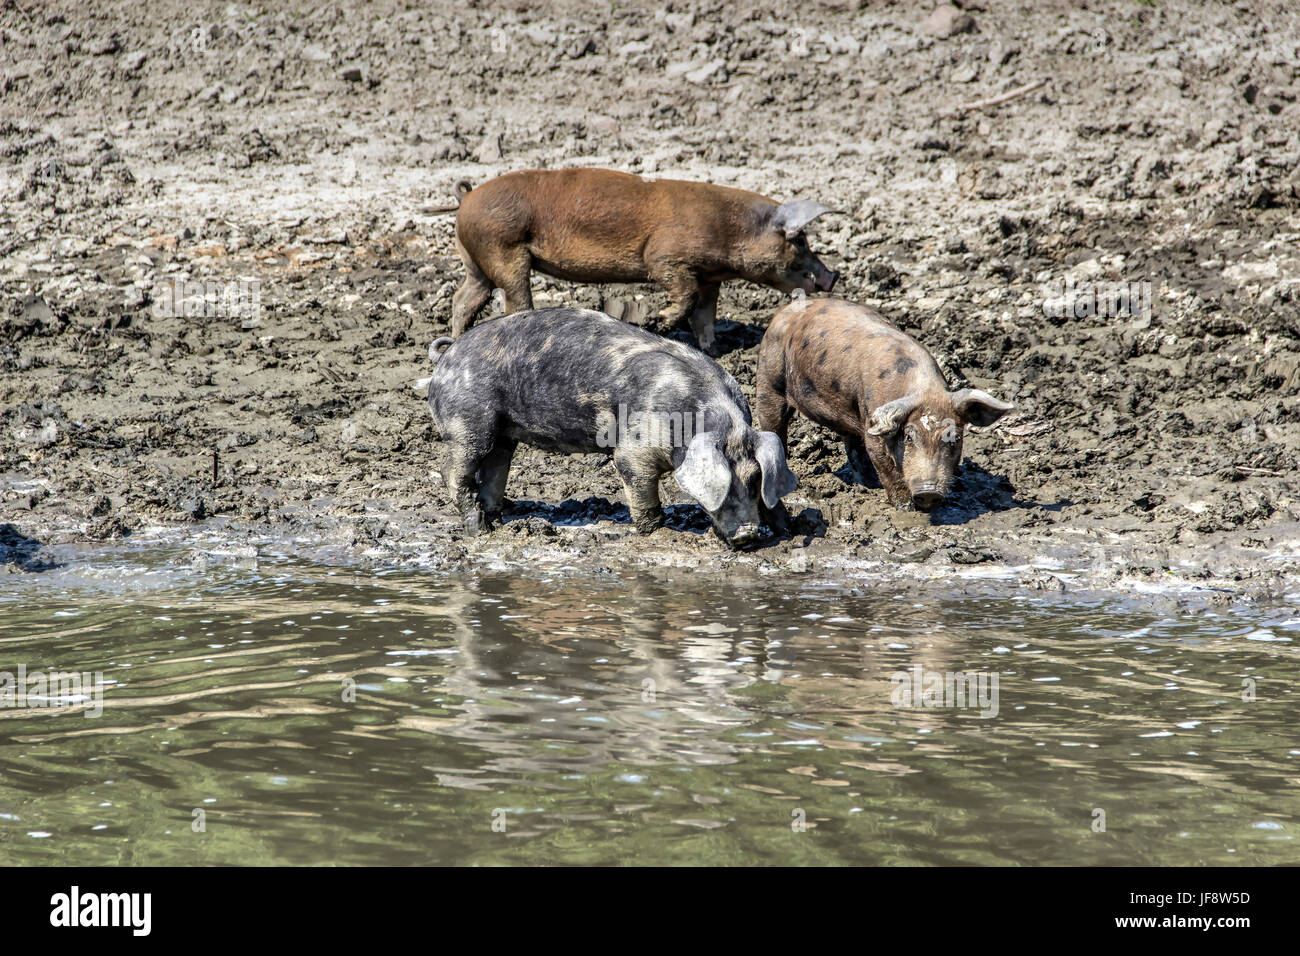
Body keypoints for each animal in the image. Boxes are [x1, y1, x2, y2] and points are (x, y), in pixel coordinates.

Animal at [426, 306, 795, 546]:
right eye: (722, 483)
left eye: (754, 479)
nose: (748, 534)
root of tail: (445, 358)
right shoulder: (635, 447)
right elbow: (639, 485)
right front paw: (655, 533)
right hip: (469, 421)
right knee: (453, 471)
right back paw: (479, 531)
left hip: (502, 432)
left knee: (495, 468)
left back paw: (498, 522)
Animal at [441, 167, 837, 356]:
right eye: (799, 240)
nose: (831, 277)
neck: (730, 229)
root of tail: (468, 197)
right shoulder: (666, 258)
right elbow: (684, 295)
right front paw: (658, 321)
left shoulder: (711, 277)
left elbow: (705, 316)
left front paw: (713, 350)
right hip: (502, 248)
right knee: (514, 298)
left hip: (476, 260)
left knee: (464, 299)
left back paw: (454, 341)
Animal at [754, 299, 1013, 512]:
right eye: (908, 437)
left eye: (955, 438)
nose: (929, 491)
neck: (925, 389)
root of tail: (784, 312)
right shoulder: (873, 423)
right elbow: (884, 463)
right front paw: (905, 508)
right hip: (768, 381)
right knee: (773, 426)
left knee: (853, 445)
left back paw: (868, 484)